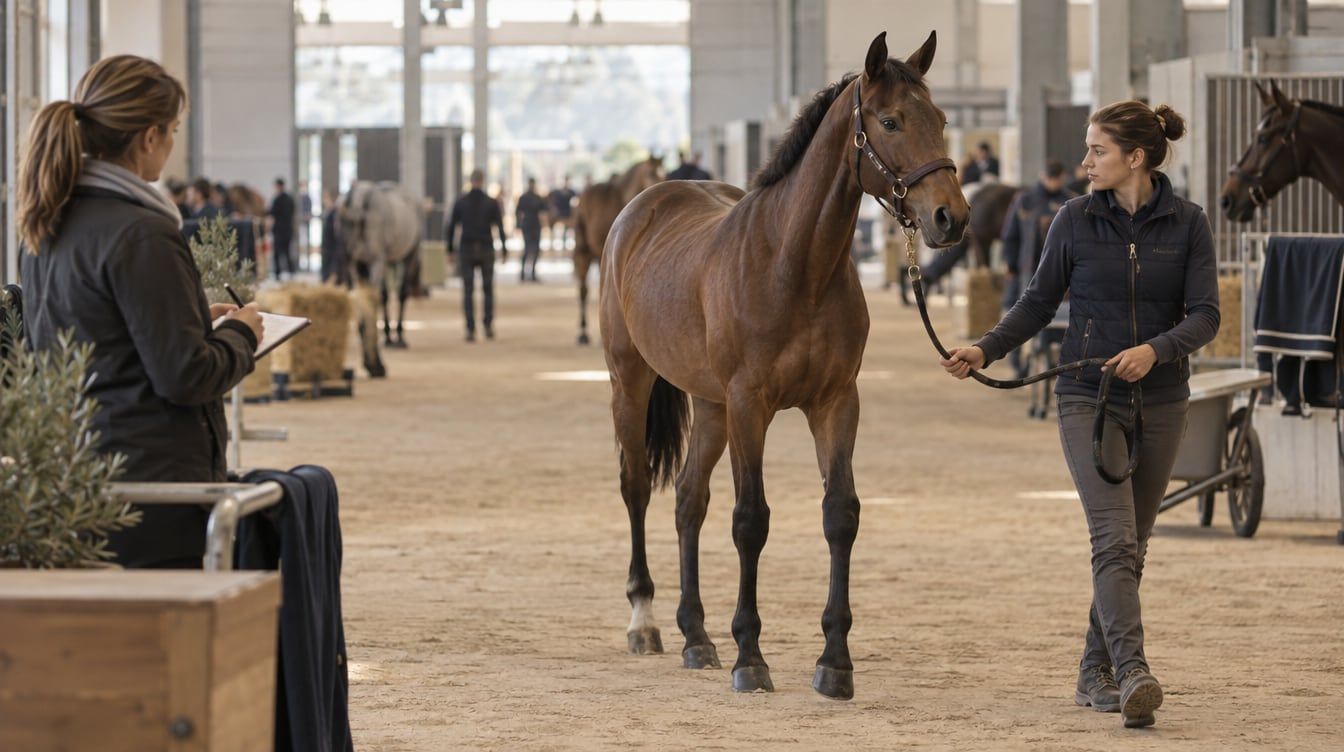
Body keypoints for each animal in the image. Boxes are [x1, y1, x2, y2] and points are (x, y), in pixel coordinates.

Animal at [339, 181, 423, 378]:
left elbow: (385, 296)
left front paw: (390, 337)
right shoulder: (407, 255)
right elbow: (400, 294)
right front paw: (398, 337)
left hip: (355, 265)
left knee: (362, 301)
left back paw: (372, 361)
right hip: (377, 260)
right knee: (372, 301)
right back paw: (376, 364)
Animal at [598, 31, 968, 700]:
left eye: (942, 119)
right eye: (891, 121)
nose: (950, 217)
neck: (795, 266)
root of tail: (643, 205)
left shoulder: (836, 403)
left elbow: (840, 515)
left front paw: (835, 663)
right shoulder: (751, 404)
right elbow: (751, 521)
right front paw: (751, 658)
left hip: (709, 404)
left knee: (688, 500)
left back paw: (696, 637)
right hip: (630, 381)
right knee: (637, 486)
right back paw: (646, 621)